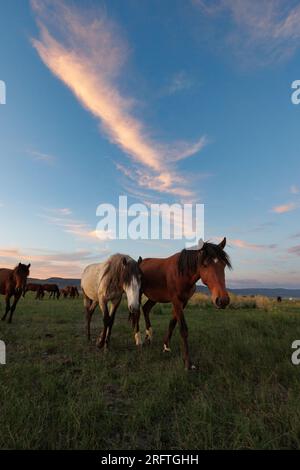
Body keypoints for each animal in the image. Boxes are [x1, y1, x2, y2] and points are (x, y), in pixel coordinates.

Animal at [137, 239, 231, 370]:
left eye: (223, 265)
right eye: (205, 264)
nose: (223, 300)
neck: (181, 273)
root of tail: (140, 262)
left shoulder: (183, 301)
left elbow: (172, 323)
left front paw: (166, 347)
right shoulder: (176, 300)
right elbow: (183, 329)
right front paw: (188, 363)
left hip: (154, 297)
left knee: (146, 309)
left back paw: (148, 338)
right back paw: (139, 341)